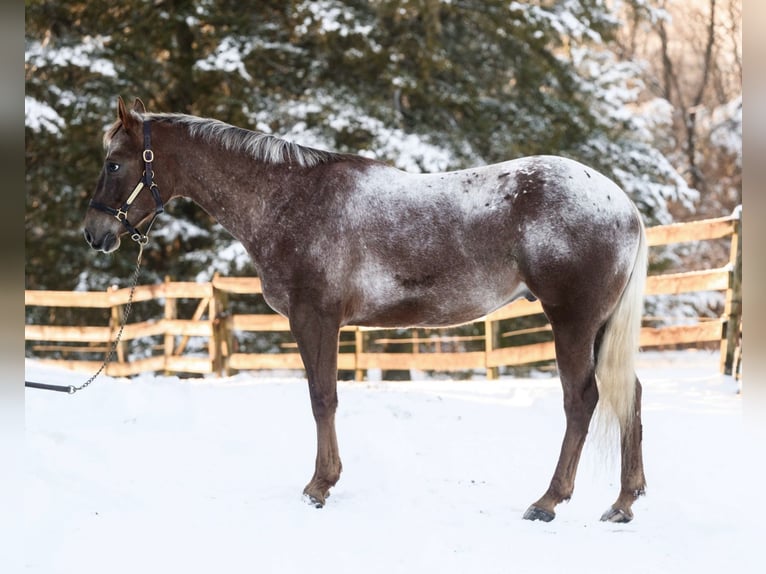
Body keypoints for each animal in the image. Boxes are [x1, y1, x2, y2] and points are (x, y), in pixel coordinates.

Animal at [83, 97, 647, 523]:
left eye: (114, 163)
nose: (95, 233)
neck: (290, 199)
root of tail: (622, 204)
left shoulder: (315, 318)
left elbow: (322, 399)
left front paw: (319, 486)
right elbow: (325, 398)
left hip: (571, 323)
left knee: (581, 401)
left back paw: (548, 501)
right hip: (598, 328)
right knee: (630, 394)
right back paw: (622, 503)